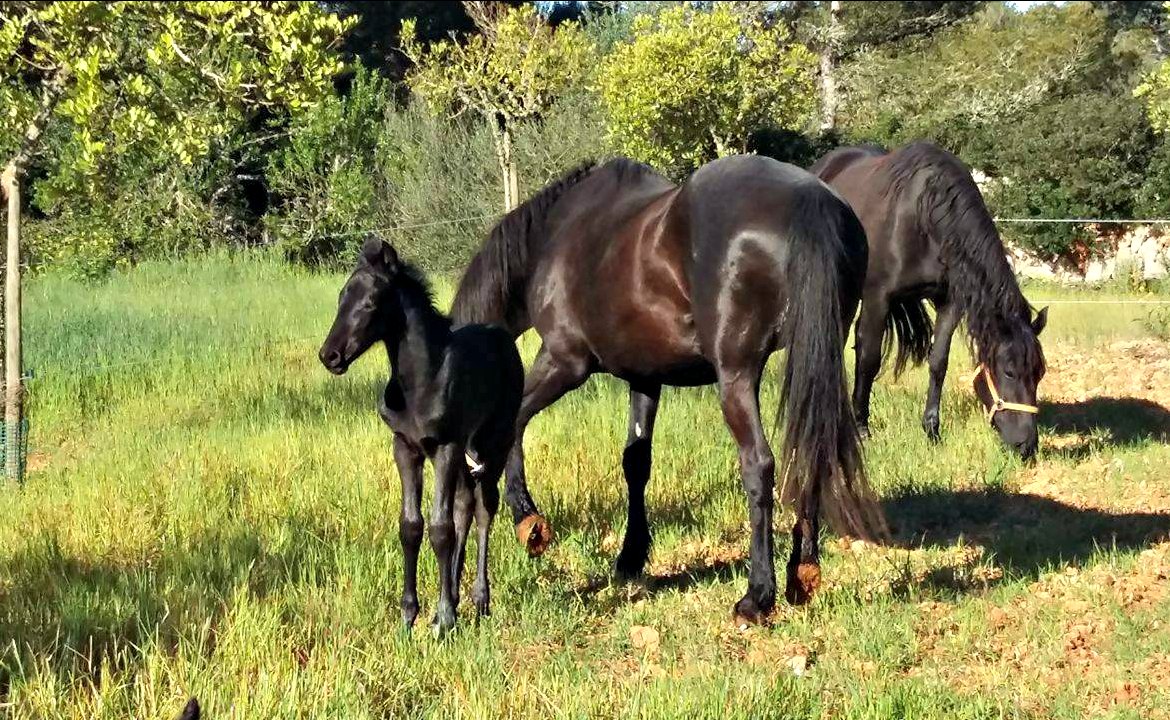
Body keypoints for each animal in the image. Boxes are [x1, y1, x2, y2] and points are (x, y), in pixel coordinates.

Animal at [318, 237, 524, 636]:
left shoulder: (444, 447)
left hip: (495, 441)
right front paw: (409, 615)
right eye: (340, 298)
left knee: (484, 506)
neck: (420, 381)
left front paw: (444, 620)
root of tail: (503, 337)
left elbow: (440, 528)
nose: (330, 356)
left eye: (371, 302)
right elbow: (411, 526)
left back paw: (479, 600)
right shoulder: (405, 448)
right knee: (464, 503)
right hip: (465, 452)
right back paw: (457, 595)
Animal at [449, 154, 884, 622]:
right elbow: (635, 463)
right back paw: (801, 572)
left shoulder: (565, 362)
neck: (557, 235)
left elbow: (514, 422)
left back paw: (757, 595)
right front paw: (630, 555)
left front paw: (528, 521)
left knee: (759, 464)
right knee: (810, 452)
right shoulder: (644, 377)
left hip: (736, 375)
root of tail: (808, 199)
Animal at [814, 141, 1053, 458]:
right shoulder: (878, 297)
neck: (923, 218)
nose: (1027, 445)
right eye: (1009, 372)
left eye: (1039, 374)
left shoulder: (949, 303)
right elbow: (869, 361)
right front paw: (863, 429)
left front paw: (932, 429)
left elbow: (939, 362)